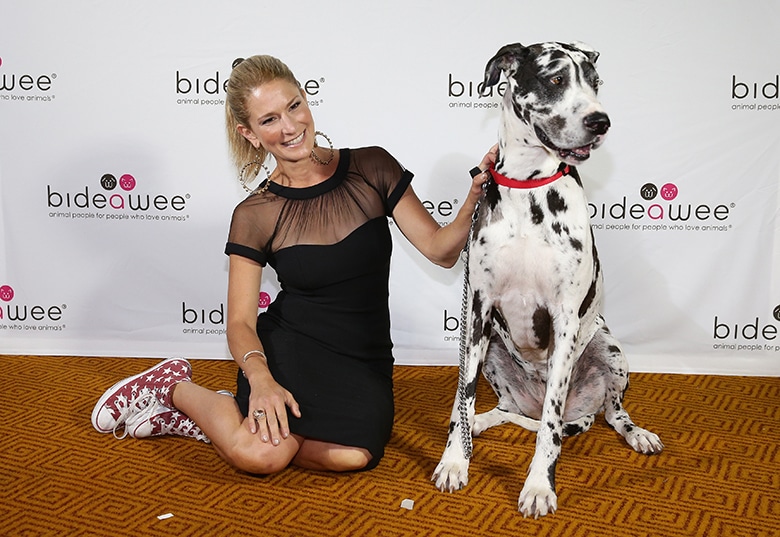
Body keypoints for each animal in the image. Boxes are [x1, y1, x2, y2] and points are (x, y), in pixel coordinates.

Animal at [432, 43, 664, 520]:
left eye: (595, 82)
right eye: (556, 79)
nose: (600, 121)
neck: (527, 187)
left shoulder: (565, 319)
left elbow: (550, 431)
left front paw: (539, 486)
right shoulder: (478, 311)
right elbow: (462, 397)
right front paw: (455, 461)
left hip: (609, 350)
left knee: (608, 415)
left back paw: (637, 433)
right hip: (495, 351)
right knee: (505, 409)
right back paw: (480, 422)